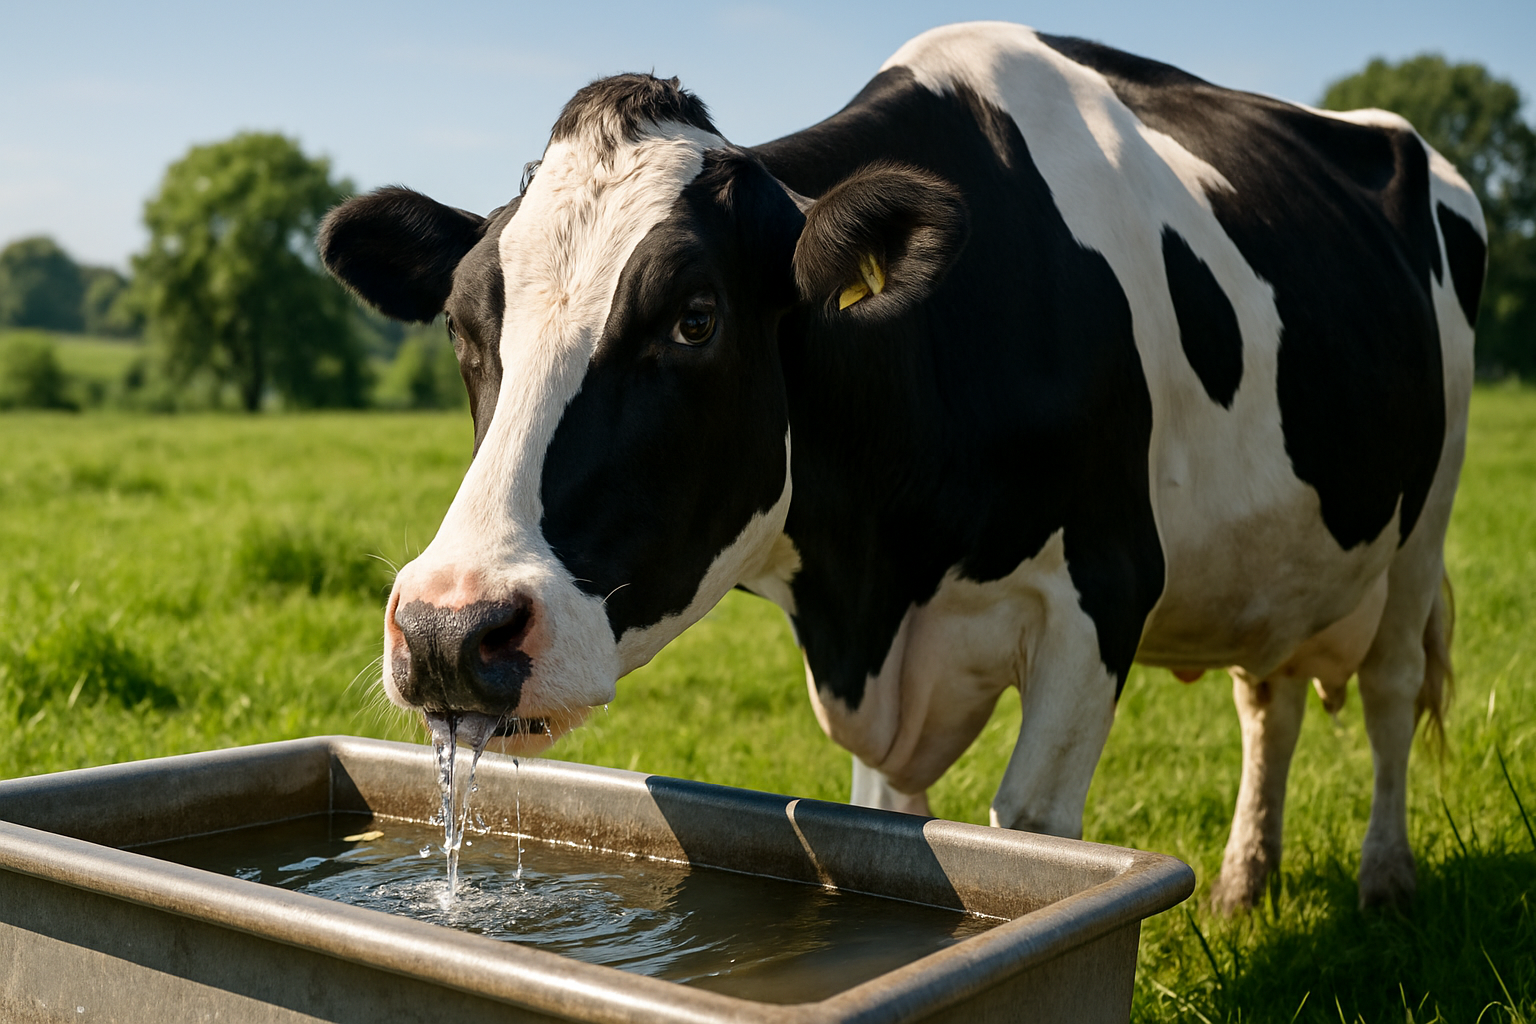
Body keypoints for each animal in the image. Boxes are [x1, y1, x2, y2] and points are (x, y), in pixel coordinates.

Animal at [319, 22, 1486, 911]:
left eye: (695, 318)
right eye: (464, 326)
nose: (449, 628)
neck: (873, 581)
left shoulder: (1104, 586)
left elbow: (1029, 827)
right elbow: (889, 828)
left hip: (1425, 521)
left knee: (1389, 688)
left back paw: (1386, 882)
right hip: (1281, 556)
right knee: (1269, 699)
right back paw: (1246, 881)